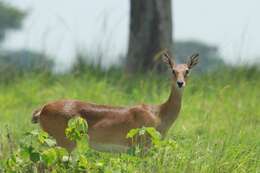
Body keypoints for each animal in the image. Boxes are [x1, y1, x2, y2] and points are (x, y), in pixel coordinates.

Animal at [32, 50, 199, 152]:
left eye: (187, 71)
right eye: (173, 70)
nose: (180, 83)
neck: (159, 113)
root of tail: (43, 108)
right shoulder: (141, 148)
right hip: (64, 143)